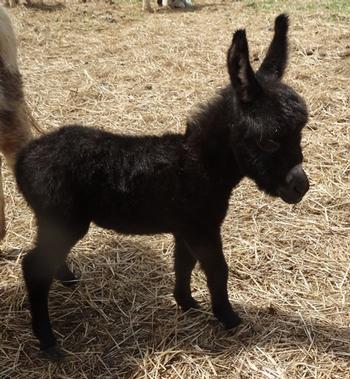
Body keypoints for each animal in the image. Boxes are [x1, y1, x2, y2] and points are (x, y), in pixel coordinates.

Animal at [15, 14, 308, 360]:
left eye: (300, 133)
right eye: (268, 141)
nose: (301, 187)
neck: (199, 165)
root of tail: (24, 157)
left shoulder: (185, 227)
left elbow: (184, 264)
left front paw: (187, 303)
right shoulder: (202, 227)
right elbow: (217, 270)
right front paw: (228, 318)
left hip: (53, 220)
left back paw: (67, 280)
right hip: (64, 219)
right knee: (34, 268)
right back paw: (49, 343)